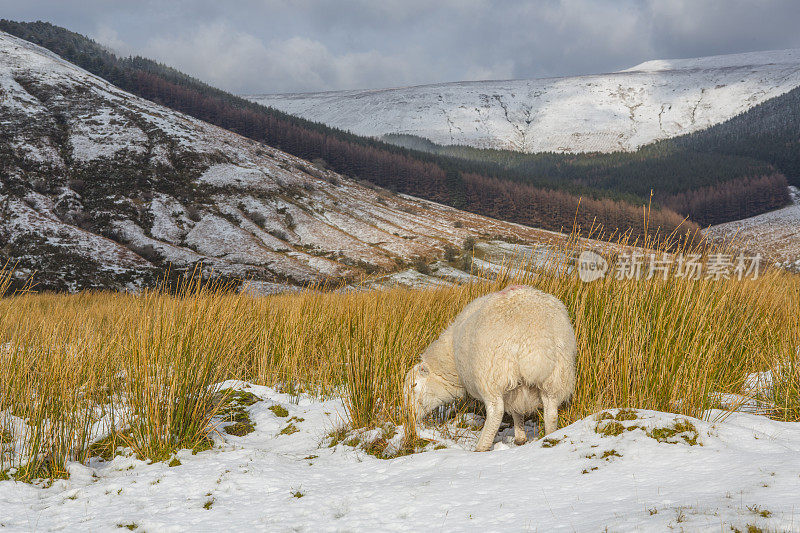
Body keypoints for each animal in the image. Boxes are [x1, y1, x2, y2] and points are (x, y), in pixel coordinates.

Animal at [406, 284, 576, 450]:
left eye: (414, 386)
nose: (409, 416)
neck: (450, 358)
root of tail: (535, 332)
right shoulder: (518, 387)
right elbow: (517, 410)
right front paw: (520, 437)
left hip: (491, 374)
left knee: (496, 411)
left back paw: (482, 446)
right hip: (557, 373)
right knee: (551, 409)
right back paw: (549, 435)